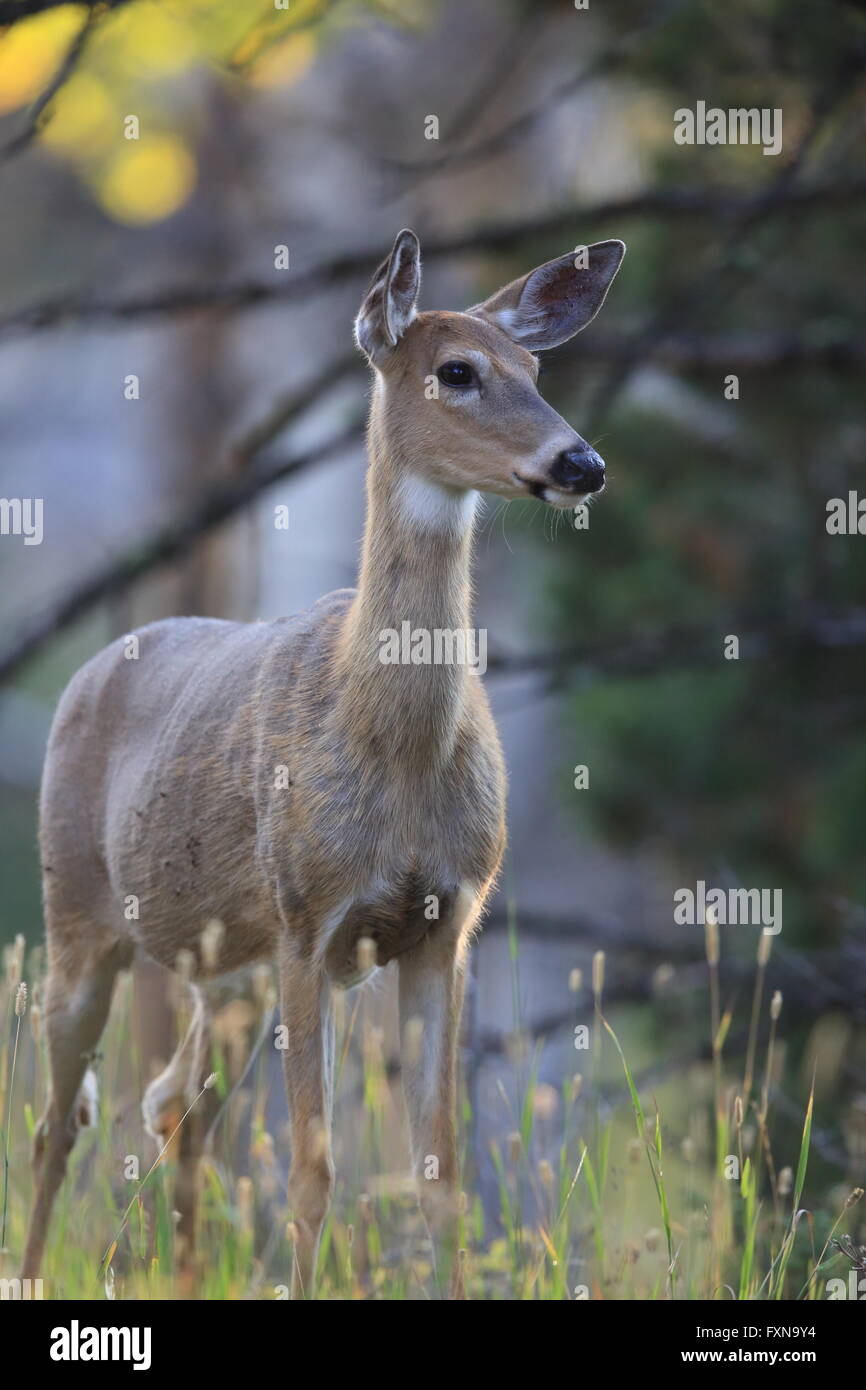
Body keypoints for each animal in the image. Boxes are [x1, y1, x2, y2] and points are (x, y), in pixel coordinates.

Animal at [22, 228, 625, 1298]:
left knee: (174, 1107)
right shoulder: (309, 919)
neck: (397, 751)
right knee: (59, 1123)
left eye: (536, 367)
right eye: (457, 371)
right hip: (81, 912)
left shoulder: (446, 923)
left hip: (228, 970)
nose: (581, 462)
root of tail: (96, 662)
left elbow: (441, 1177)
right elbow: (312, 1172)